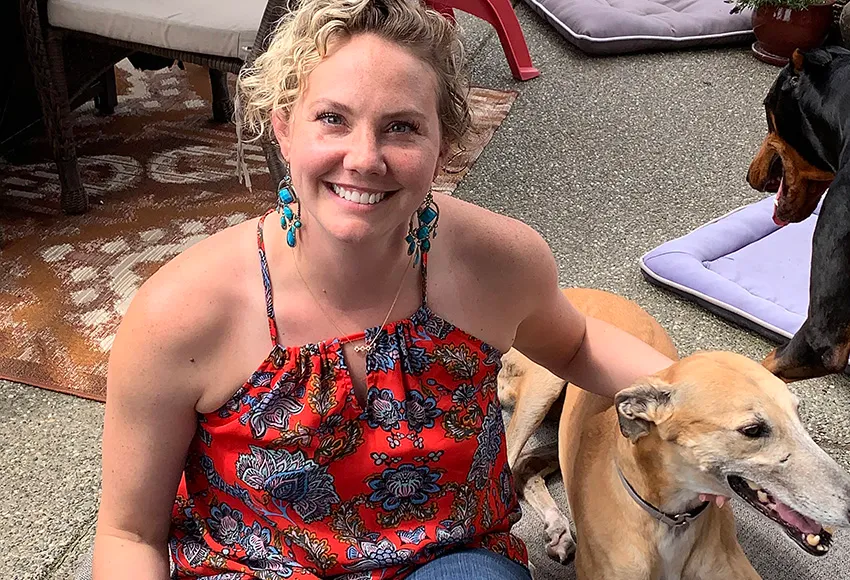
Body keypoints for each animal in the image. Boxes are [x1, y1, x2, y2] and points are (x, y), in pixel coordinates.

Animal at [500, 288, 850, 579]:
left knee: (527, 465)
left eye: (798, 412)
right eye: (752, 430)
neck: (671, 521)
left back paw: (558, 529)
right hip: (542, 387)